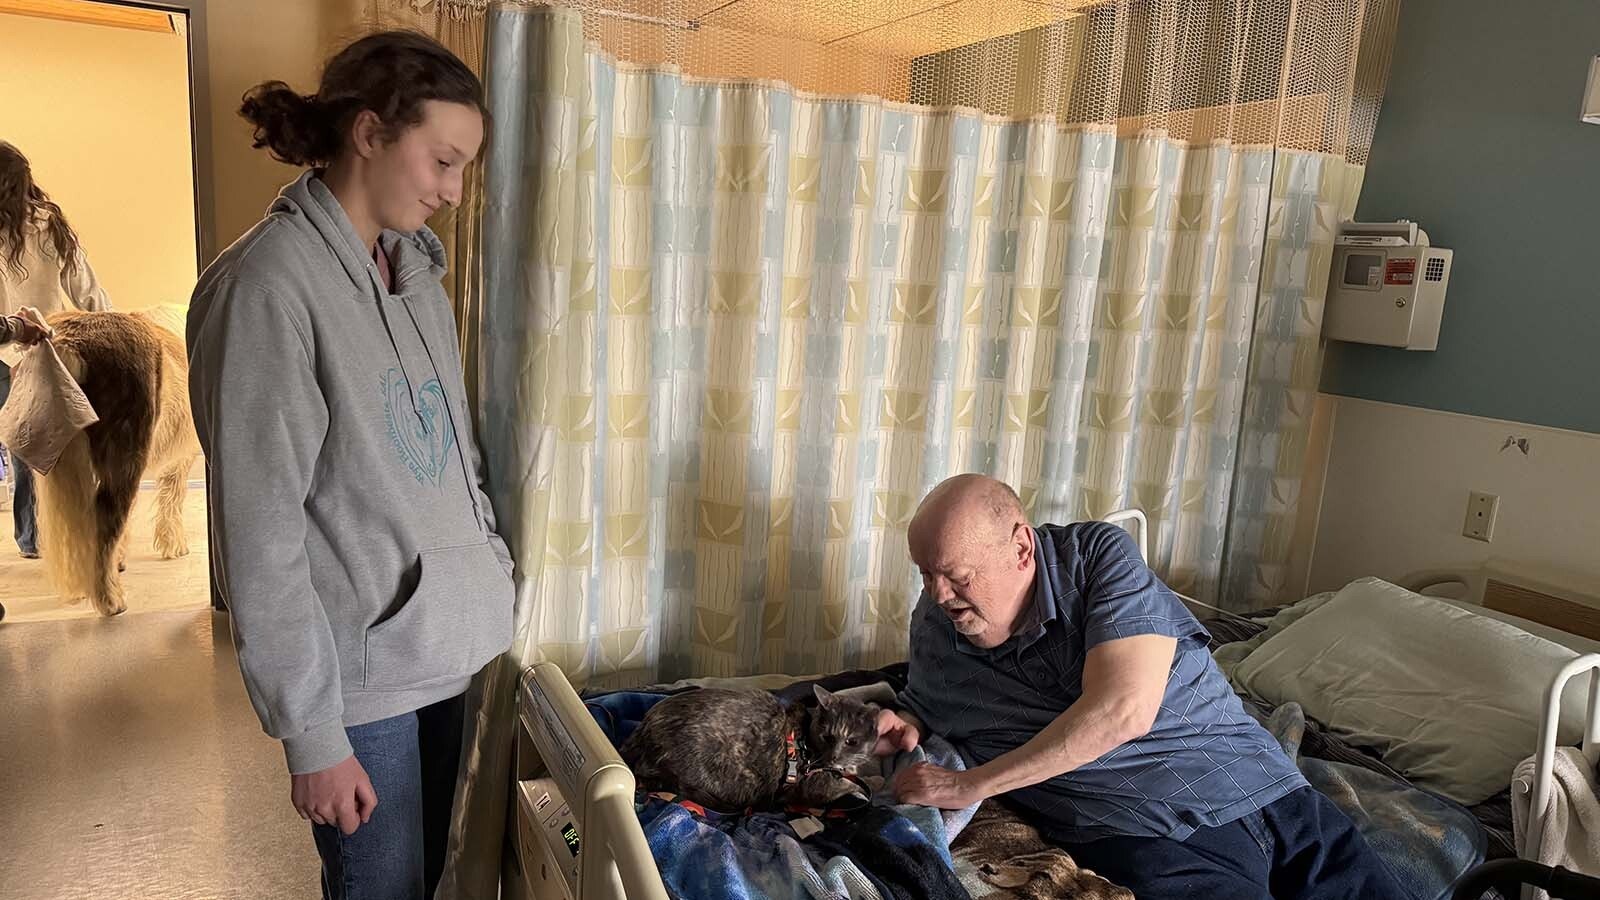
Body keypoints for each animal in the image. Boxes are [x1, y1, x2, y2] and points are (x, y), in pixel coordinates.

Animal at [617, 682, 883, 810]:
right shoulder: (817, 787)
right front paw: (873, 783)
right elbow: (851, 785)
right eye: (827, 736)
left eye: (852, 742)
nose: (834, 756)